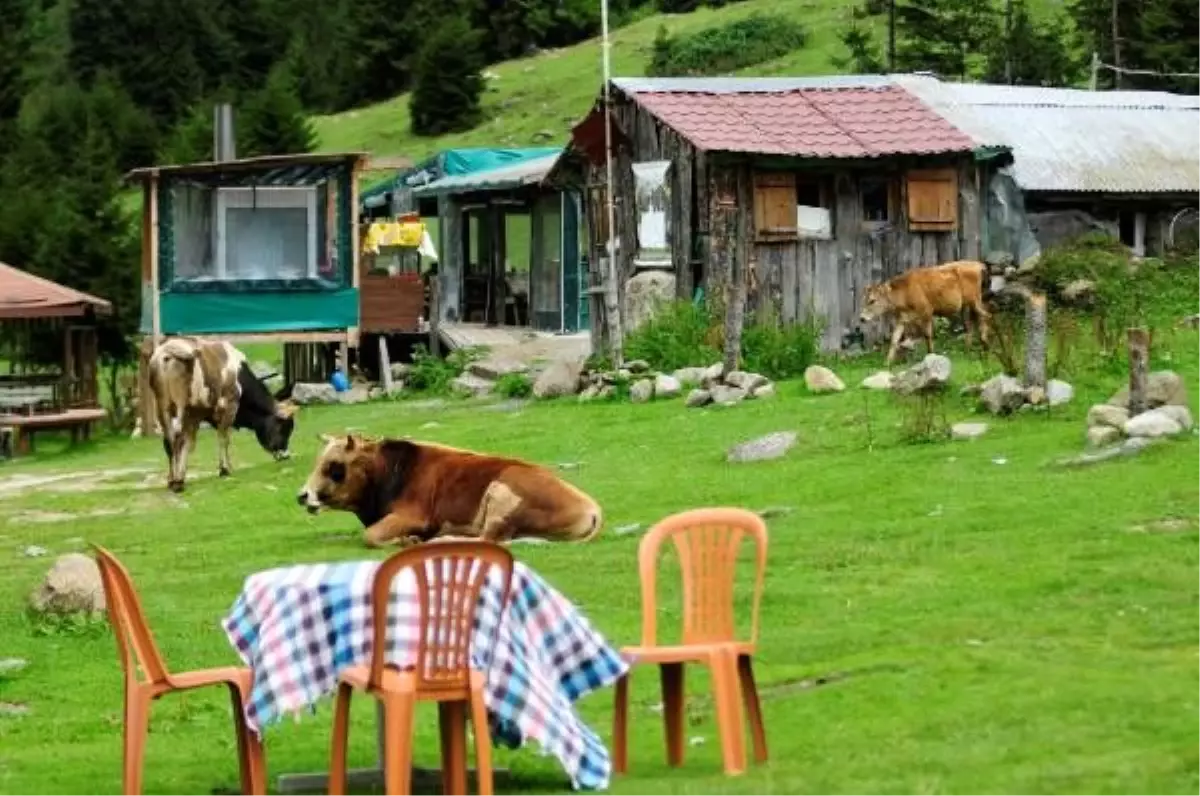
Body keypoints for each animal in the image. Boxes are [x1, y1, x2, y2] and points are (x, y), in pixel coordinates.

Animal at [146, 340, 296, 494]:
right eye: (284, 428)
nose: (286, 455)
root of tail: (167, 350)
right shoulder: (229, 406)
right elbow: (224, 439)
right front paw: (225, 469)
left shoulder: (201, 416)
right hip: (182, 408)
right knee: (177, 439)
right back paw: (178, 482)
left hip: (162, 407)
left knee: (169, 441)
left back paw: (172, 480)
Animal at [296, 432, 604, 552]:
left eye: (334, 466)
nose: (302, 495)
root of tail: (592, 507)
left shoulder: (412, 516)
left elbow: (370, 536)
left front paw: (408, 540)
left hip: (501, 495)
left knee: (489, 539)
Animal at [864, 260, 993, 364]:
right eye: (865, 299)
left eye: (872, 300)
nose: (862, 318)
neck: (904, 293)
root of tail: (979, 265)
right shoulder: (902, 319)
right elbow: (894, 339)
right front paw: (887, 362)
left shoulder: (927, 311)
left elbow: (927, 335)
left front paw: (930, 354)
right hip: (967, 305)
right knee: (971, 324)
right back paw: (969, 349)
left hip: (974, 300)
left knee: (986, 315)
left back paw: (985, 346)